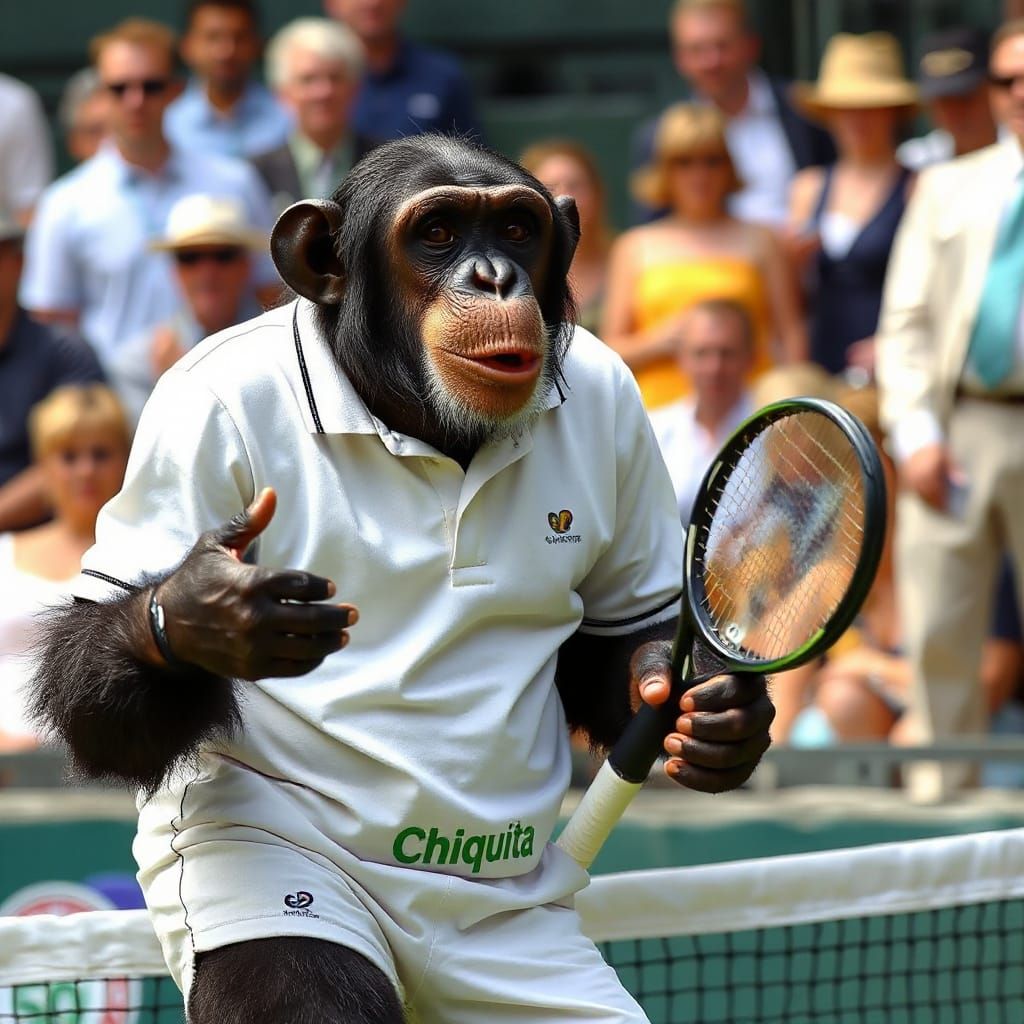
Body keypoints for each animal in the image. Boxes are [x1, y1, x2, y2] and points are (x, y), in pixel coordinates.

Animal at [29, 135, 773, 1024]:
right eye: (439, 232)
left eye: (517, 227)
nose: (493, 277)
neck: (415, 418)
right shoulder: (192, 425)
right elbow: (96, 679)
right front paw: (206, 610)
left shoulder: (618, 405)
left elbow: (620, 633)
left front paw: (717, 716)